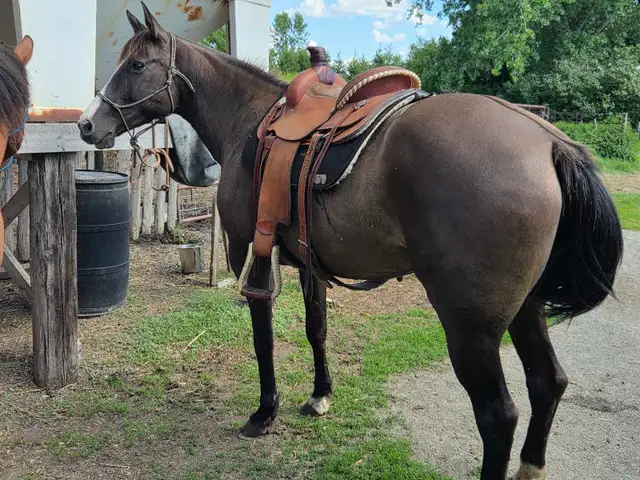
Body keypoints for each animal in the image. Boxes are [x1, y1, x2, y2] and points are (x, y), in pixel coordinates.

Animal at [77, 5, 623, 479]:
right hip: (526, 307)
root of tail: (548, 140)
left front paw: (264, 413)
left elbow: (263, 340)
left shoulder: (251, 258)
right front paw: (320, 395)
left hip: (472, 326)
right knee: (548, 383)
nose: (86, 123)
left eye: (136, 65)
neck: (249, 121)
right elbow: (316, 329)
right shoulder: (310, 264)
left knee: (498, 416)